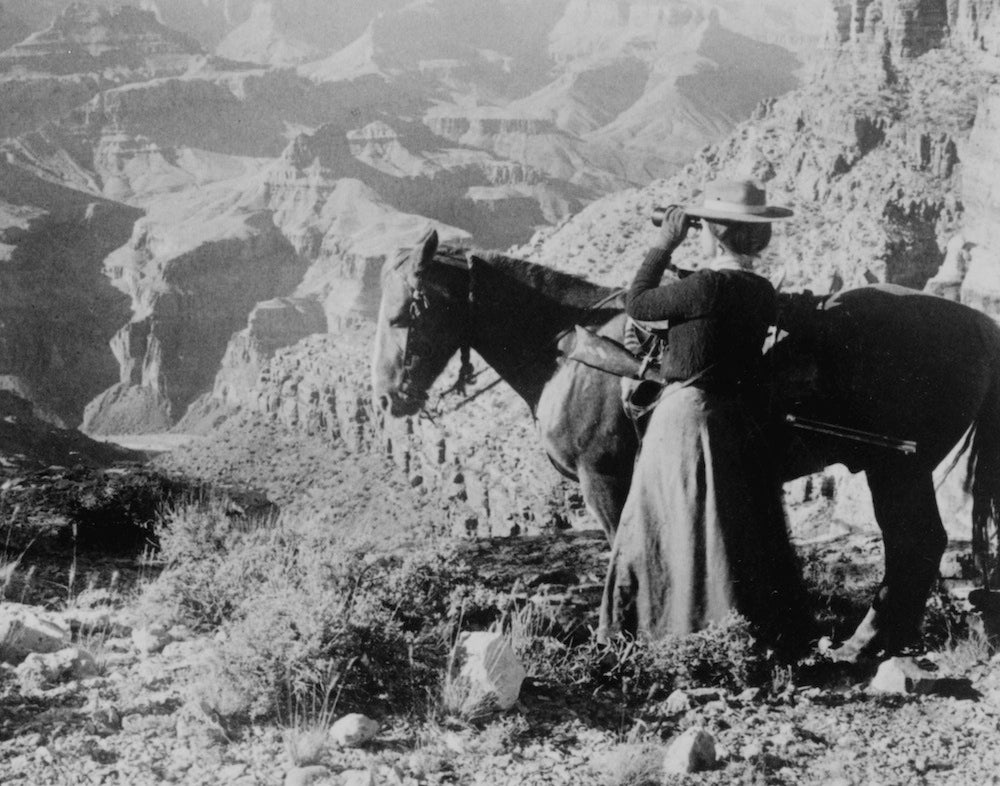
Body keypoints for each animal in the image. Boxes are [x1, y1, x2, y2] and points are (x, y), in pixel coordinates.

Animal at [374, 228, 1000, 656]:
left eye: (407, 312)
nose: (385, 399)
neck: (571, 354)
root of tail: (980, 323)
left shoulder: (603, 480)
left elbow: (618, 545)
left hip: (897, 468)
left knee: (915, 542)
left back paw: (865, 642)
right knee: (916, 545)